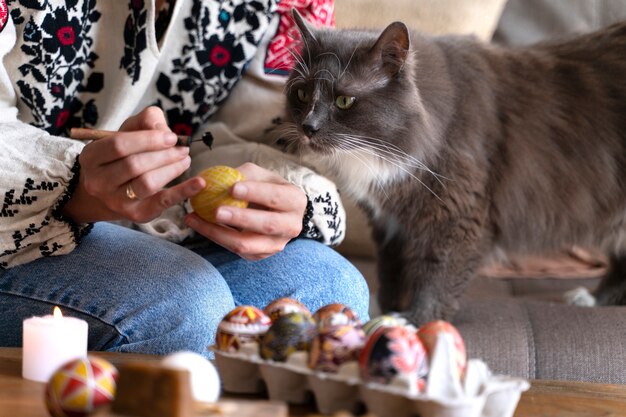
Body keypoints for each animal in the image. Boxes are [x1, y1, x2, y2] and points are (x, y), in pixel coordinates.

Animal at [278, 8, 624, 322]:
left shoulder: (456, 218)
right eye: (302, 93)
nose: (309, 126)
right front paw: (387, 310)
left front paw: (414, 323)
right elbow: (392, 272)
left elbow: (436, 280)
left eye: (344, 101)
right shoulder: (391, 225)